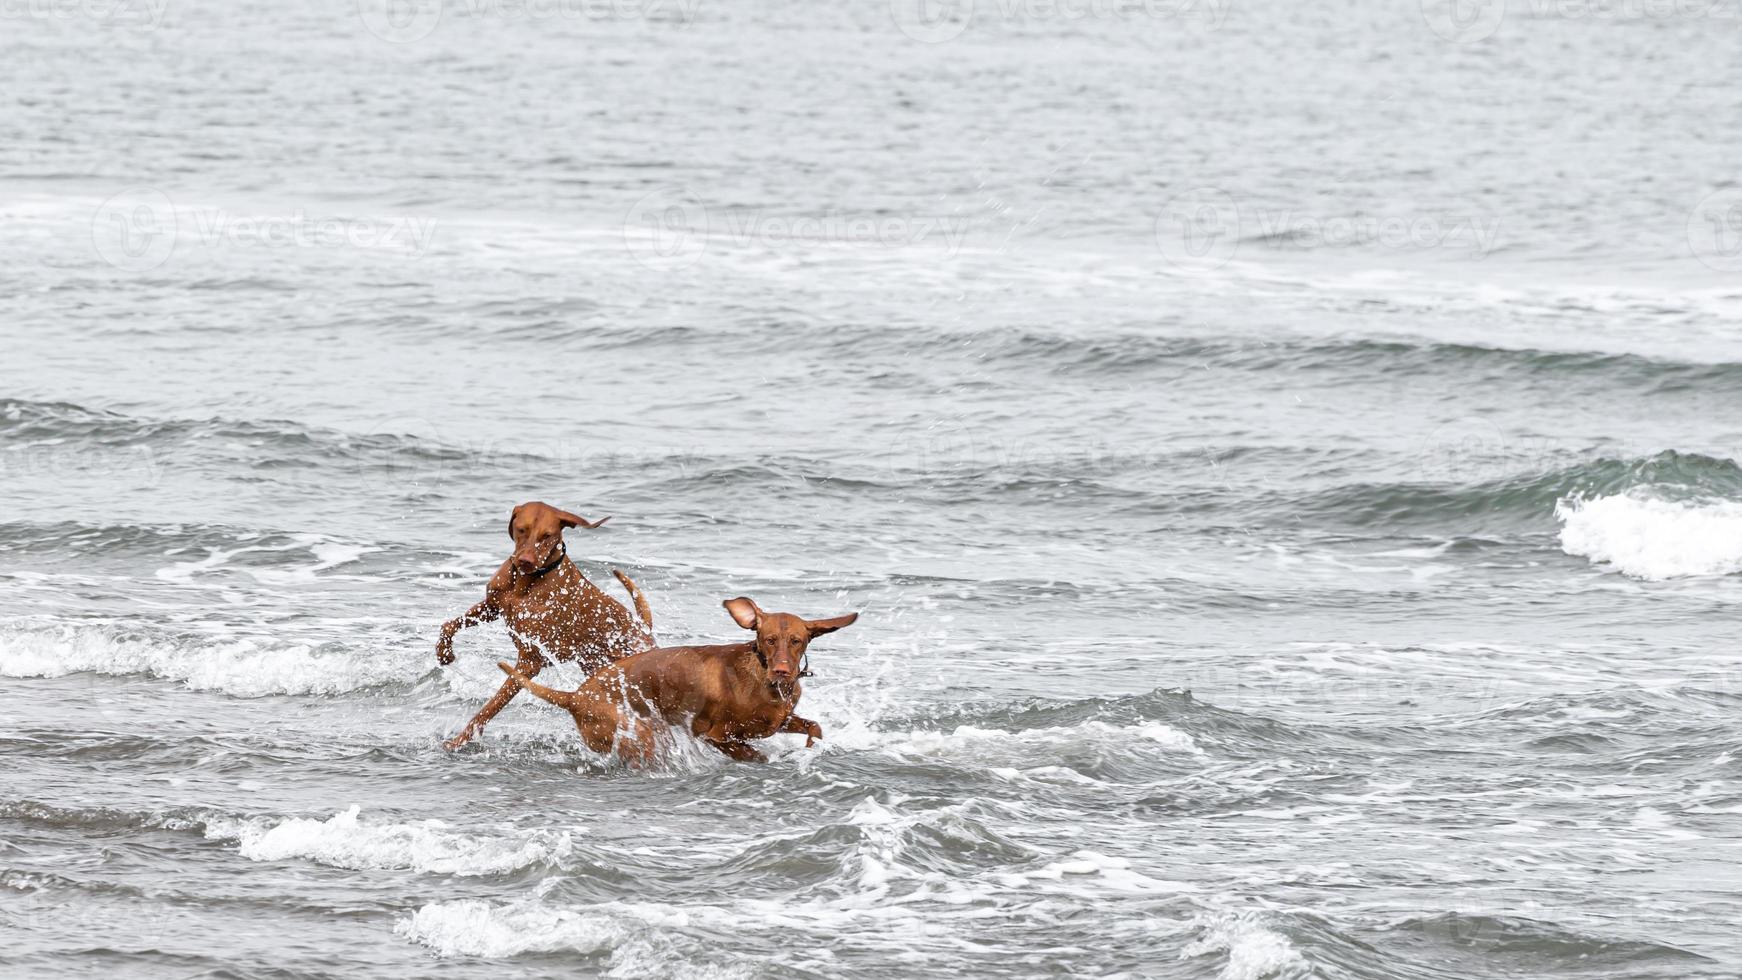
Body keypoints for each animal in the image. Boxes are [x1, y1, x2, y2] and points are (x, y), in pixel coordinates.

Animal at [433, 501, 654, 748]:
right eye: (522, 529)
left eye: (547, 535)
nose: (525, 561)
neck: (525, 581)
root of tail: (643, 627)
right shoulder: (492, 607)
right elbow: (449, 625)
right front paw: (444, 653)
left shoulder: (529, 661)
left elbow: (490, 707)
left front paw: (460, 739)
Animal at [498, 598, 857, 765]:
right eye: (768, 639)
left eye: (796, 640)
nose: (782, 670)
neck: (766, 683)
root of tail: (574, 697)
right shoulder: (718, 736)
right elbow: (757, 756)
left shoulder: (779, 721)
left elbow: (814, 728)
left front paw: (811, 747)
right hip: (640, 735)